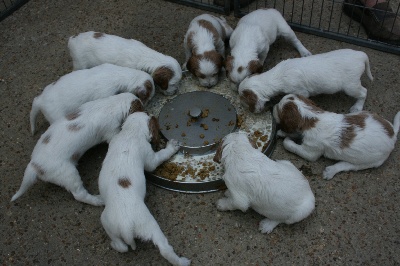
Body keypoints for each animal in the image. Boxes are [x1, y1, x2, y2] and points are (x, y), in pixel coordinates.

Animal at [10, 93, 145, 206]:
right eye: (141, 108)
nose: (146, 113)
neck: (113, 103)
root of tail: (34, 165)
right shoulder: (110, 131)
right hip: (69, 174)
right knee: (79, 195)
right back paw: (98, 200)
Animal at [97, 112, 190, 266]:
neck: (131, 132)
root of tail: (126, 227)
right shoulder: (150, 157)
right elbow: (158, 158)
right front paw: (172, 146)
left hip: (108, 223)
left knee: (122, 247)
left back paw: (115, 245)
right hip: (149, 226)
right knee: (165, 249)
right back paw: (183, 261)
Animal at [272, 93, 400, 179]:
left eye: (278, 108)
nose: (272, 107)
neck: (311, 116)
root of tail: (393, 133)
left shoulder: (311, 152)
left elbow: (289, 144)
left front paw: (287, 139)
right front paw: (283, 132)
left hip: (369, 161)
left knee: (347, 165)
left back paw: (330, 171)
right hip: (363, 113)